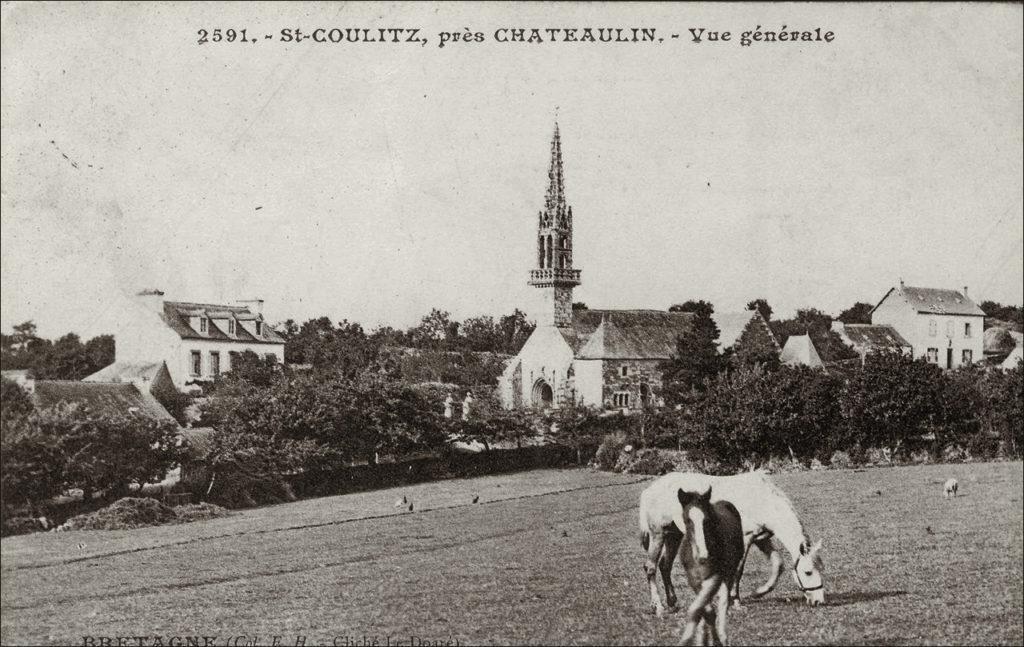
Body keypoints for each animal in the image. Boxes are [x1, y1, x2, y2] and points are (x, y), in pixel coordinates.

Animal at [638, 466, 823, 614]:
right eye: (808, 572)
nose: (818, 601)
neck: (762, 500)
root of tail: (649, 490)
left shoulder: (760, 538)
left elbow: (778, 564)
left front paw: (759, 592)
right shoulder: (745, 538)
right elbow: (738, 569)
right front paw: (736, 601)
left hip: (673, 535)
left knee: (665, 565)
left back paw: (672, 602)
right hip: (658, 534)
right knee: (651, 567)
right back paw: (658, 607)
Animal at [675, 487, 741, 642]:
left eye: (706, 520)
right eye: (687, 520)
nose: (703, 556)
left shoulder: (715, 577)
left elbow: (704, 609)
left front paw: (716, 640)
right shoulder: (693, 580)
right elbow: (704, 610)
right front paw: (703, 637)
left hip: (729, 572)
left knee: (724, 601)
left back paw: (723, 635)